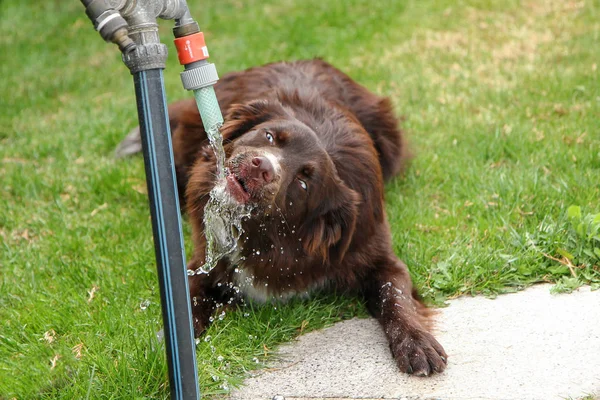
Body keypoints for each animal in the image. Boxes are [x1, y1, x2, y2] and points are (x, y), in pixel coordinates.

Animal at [119, 59, 446, 376]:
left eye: (303, 183)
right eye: (269, 136)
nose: (261, 167)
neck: (267, 236)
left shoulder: (374, 250)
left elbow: (395, 295)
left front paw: (416, 342)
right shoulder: (205, 261)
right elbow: (187, 300)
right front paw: (168, 346)